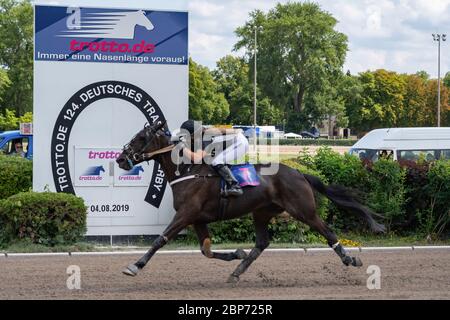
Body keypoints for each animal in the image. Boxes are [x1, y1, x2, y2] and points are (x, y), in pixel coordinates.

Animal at [115, 122, 384, 282]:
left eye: (141, 137)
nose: (120, 159)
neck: (187, 171)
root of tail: (299, 172)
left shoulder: (186, 214)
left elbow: (160, 240)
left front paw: (135, 266)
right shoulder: (198, 218)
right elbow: (206, 250)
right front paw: (236, 253)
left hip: (304, 211)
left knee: (328, 232)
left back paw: (350, 259)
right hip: (262, 213)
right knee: (261, 243)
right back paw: (237, 271)